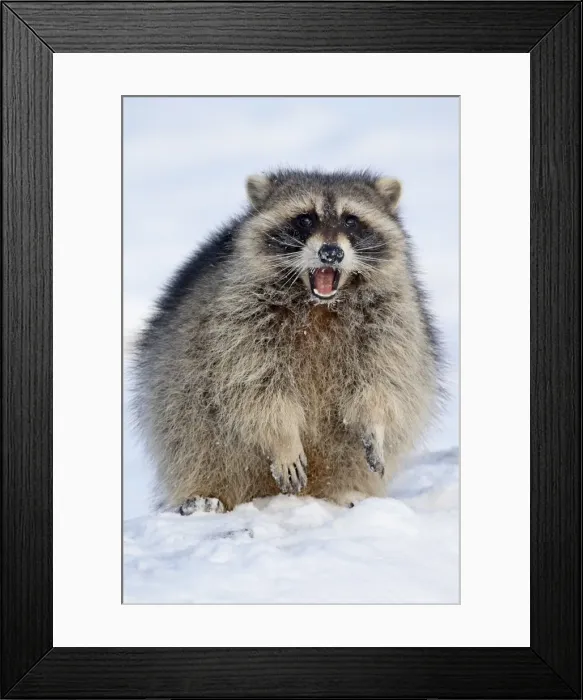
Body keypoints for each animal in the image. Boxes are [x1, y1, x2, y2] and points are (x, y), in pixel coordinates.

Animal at [132, 169, 441, 513]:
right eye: (305, 219)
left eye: (351, 220)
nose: (330, 253)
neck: (320, 305)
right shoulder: (237, 322)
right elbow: (255, 389)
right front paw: (283, 440)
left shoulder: (392, 322)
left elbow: (384, 380)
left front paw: (374, 423)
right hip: (178, 398)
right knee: (194, 439)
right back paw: (204, 494)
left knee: (349, 456)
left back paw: (344, 491)